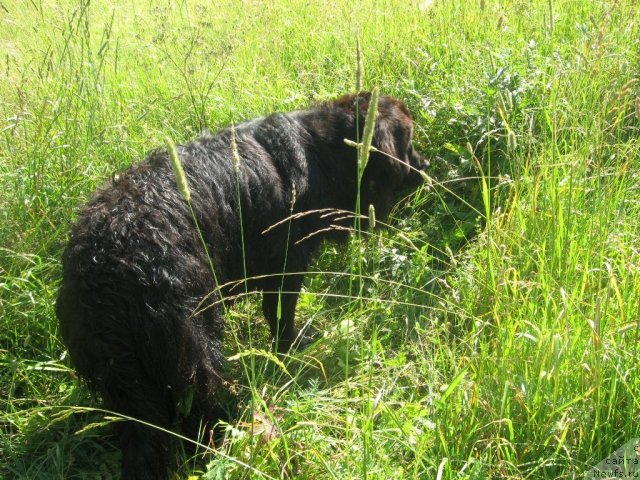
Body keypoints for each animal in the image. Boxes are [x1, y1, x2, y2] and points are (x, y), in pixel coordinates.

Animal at [55, 92, 424, 478]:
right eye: (409, 141)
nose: (426, 166)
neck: (321, 149)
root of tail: (102, 277)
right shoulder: (286, 266)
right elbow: (280, 317)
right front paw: (292, 348)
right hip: (193, 347)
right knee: (197, 409)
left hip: (122, 378)